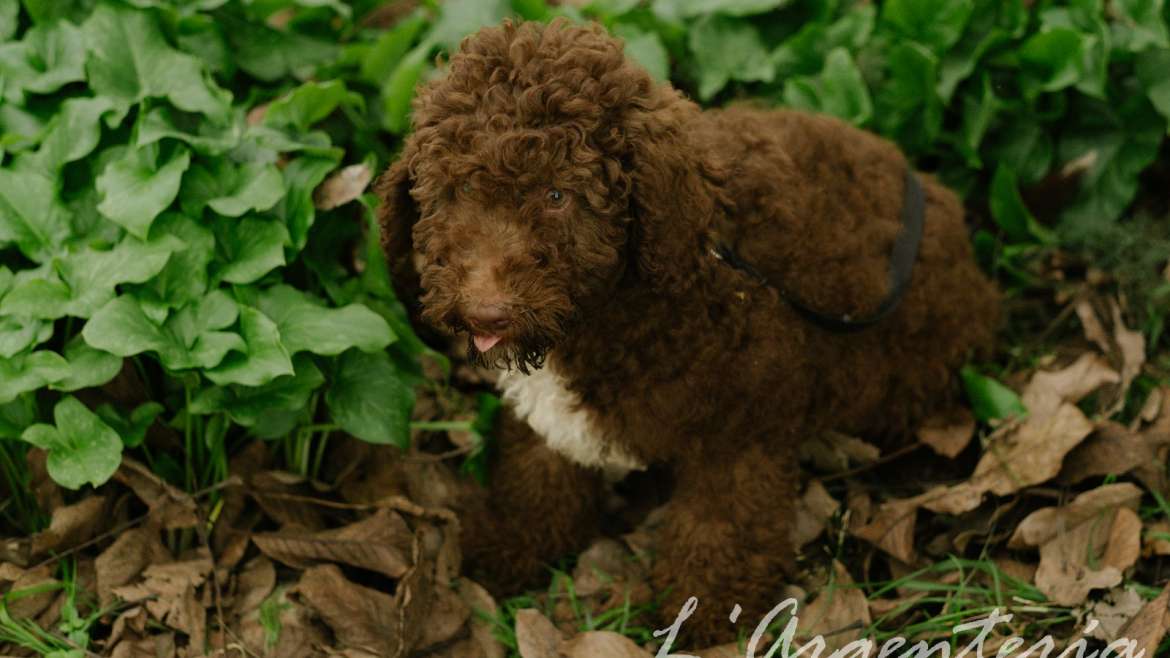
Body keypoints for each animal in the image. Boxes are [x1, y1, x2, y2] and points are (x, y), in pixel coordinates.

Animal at [379, 19, 1001, 641]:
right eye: (459, 191)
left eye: (558, 195)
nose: (488, 313)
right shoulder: (554, 417)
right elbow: (537, 473)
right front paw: (509, 540)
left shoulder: (741, 418)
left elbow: (720, 518)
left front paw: (705, 609)